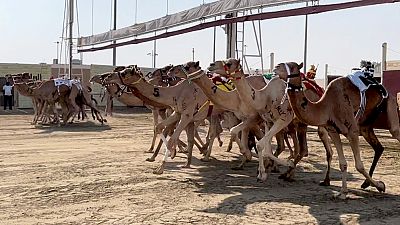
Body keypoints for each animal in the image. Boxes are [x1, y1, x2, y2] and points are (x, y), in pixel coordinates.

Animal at [278, 61, 400, 199]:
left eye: (292, 66)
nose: (276, 67)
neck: (327, 105)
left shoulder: (352, 131)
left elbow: (359, 165)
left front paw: (380, 185)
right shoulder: (333, 131)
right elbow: (343, 163)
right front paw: (343, 192)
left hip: (390, 103)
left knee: (395, 131)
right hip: (366, 126)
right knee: (379, 147)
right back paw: (365, 183)